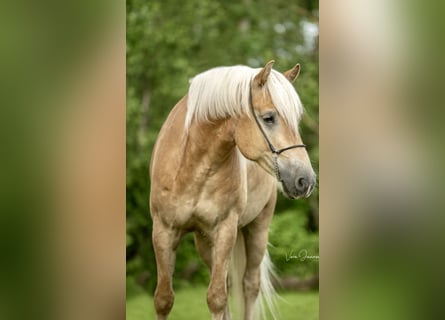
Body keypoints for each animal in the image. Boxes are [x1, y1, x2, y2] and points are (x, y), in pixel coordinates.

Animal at [149, 60, 316, 320]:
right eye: (269, 118)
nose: (306, 180)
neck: (192, 165)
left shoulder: (225, 229)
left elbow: (216, 298)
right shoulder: (163, 230)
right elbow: (164, 299)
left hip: (258, 229)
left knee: (249, 285)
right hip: (204, 241)